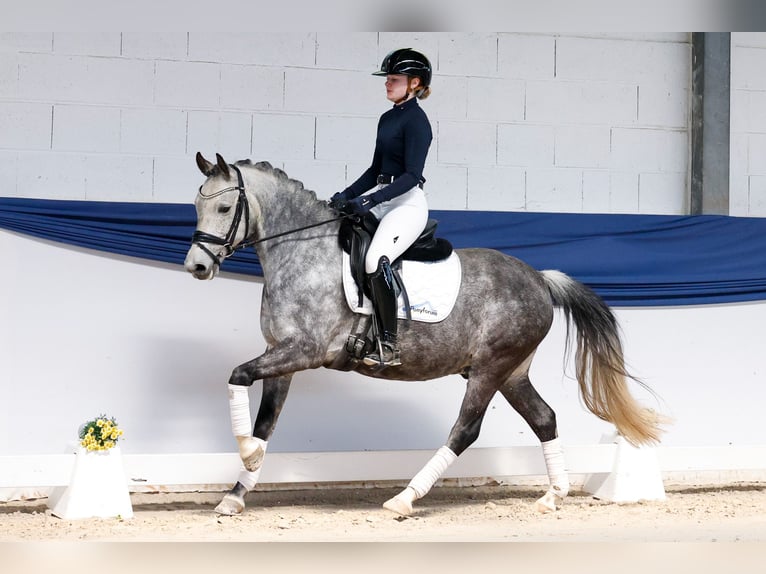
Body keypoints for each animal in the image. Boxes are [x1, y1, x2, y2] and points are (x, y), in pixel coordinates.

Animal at [184, 152, 664, 517]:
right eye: (196, 207)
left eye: (224, 210)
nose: (197, 266)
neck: (304, 253)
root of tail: (540, 280)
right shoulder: (281, 355)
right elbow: (265, 420)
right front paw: (236, 493)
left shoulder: (306, 350)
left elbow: (237, 375)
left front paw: (247, 455)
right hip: (512, 371)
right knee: (544, 418)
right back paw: (552, 495)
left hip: (490, 369)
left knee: (465, 430)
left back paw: (404, 499)